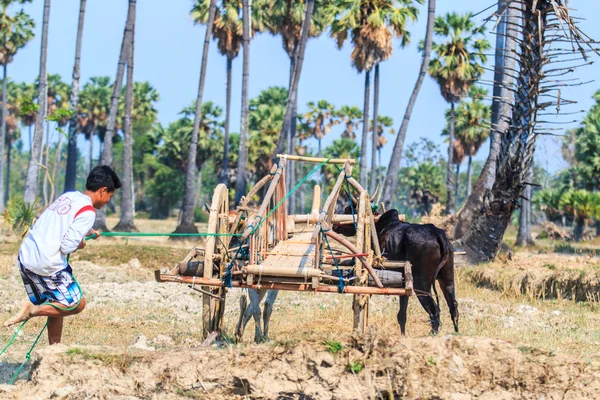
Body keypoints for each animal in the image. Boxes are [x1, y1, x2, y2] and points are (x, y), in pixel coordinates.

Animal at [332, 208, 460, 336]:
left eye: (347, 210)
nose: (335, 226)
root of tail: (437, 234)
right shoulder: (404, 283)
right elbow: (402, 314)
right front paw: (402, 335)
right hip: (447, 278)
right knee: (453, 305)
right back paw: (456, 332)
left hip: (421, 283)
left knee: (433, 308)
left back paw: (433, 333)